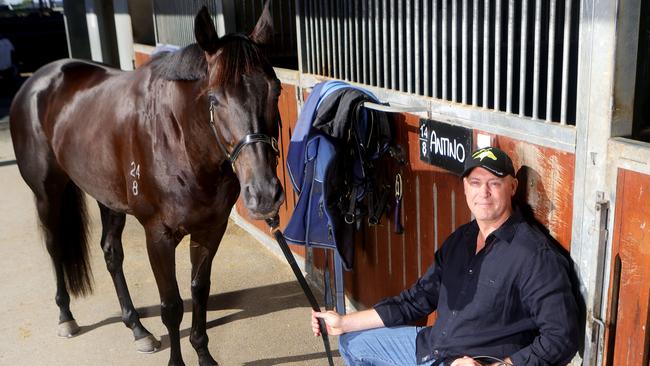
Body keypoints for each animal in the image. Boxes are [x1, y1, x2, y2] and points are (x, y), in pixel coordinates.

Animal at [8, 3, 284, 366]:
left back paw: (137, 328)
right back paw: (66, 317)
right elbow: (172, 306)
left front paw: (204, 354)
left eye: (276, 89)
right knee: (55, 247)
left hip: (107, 197)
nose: (264, 194)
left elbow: (200, 290)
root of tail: (37, 81)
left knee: (111, 254)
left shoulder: (211, 229)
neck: (177, 139)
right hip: (47, 193)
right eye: (214, 98)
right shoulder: (158, 236)